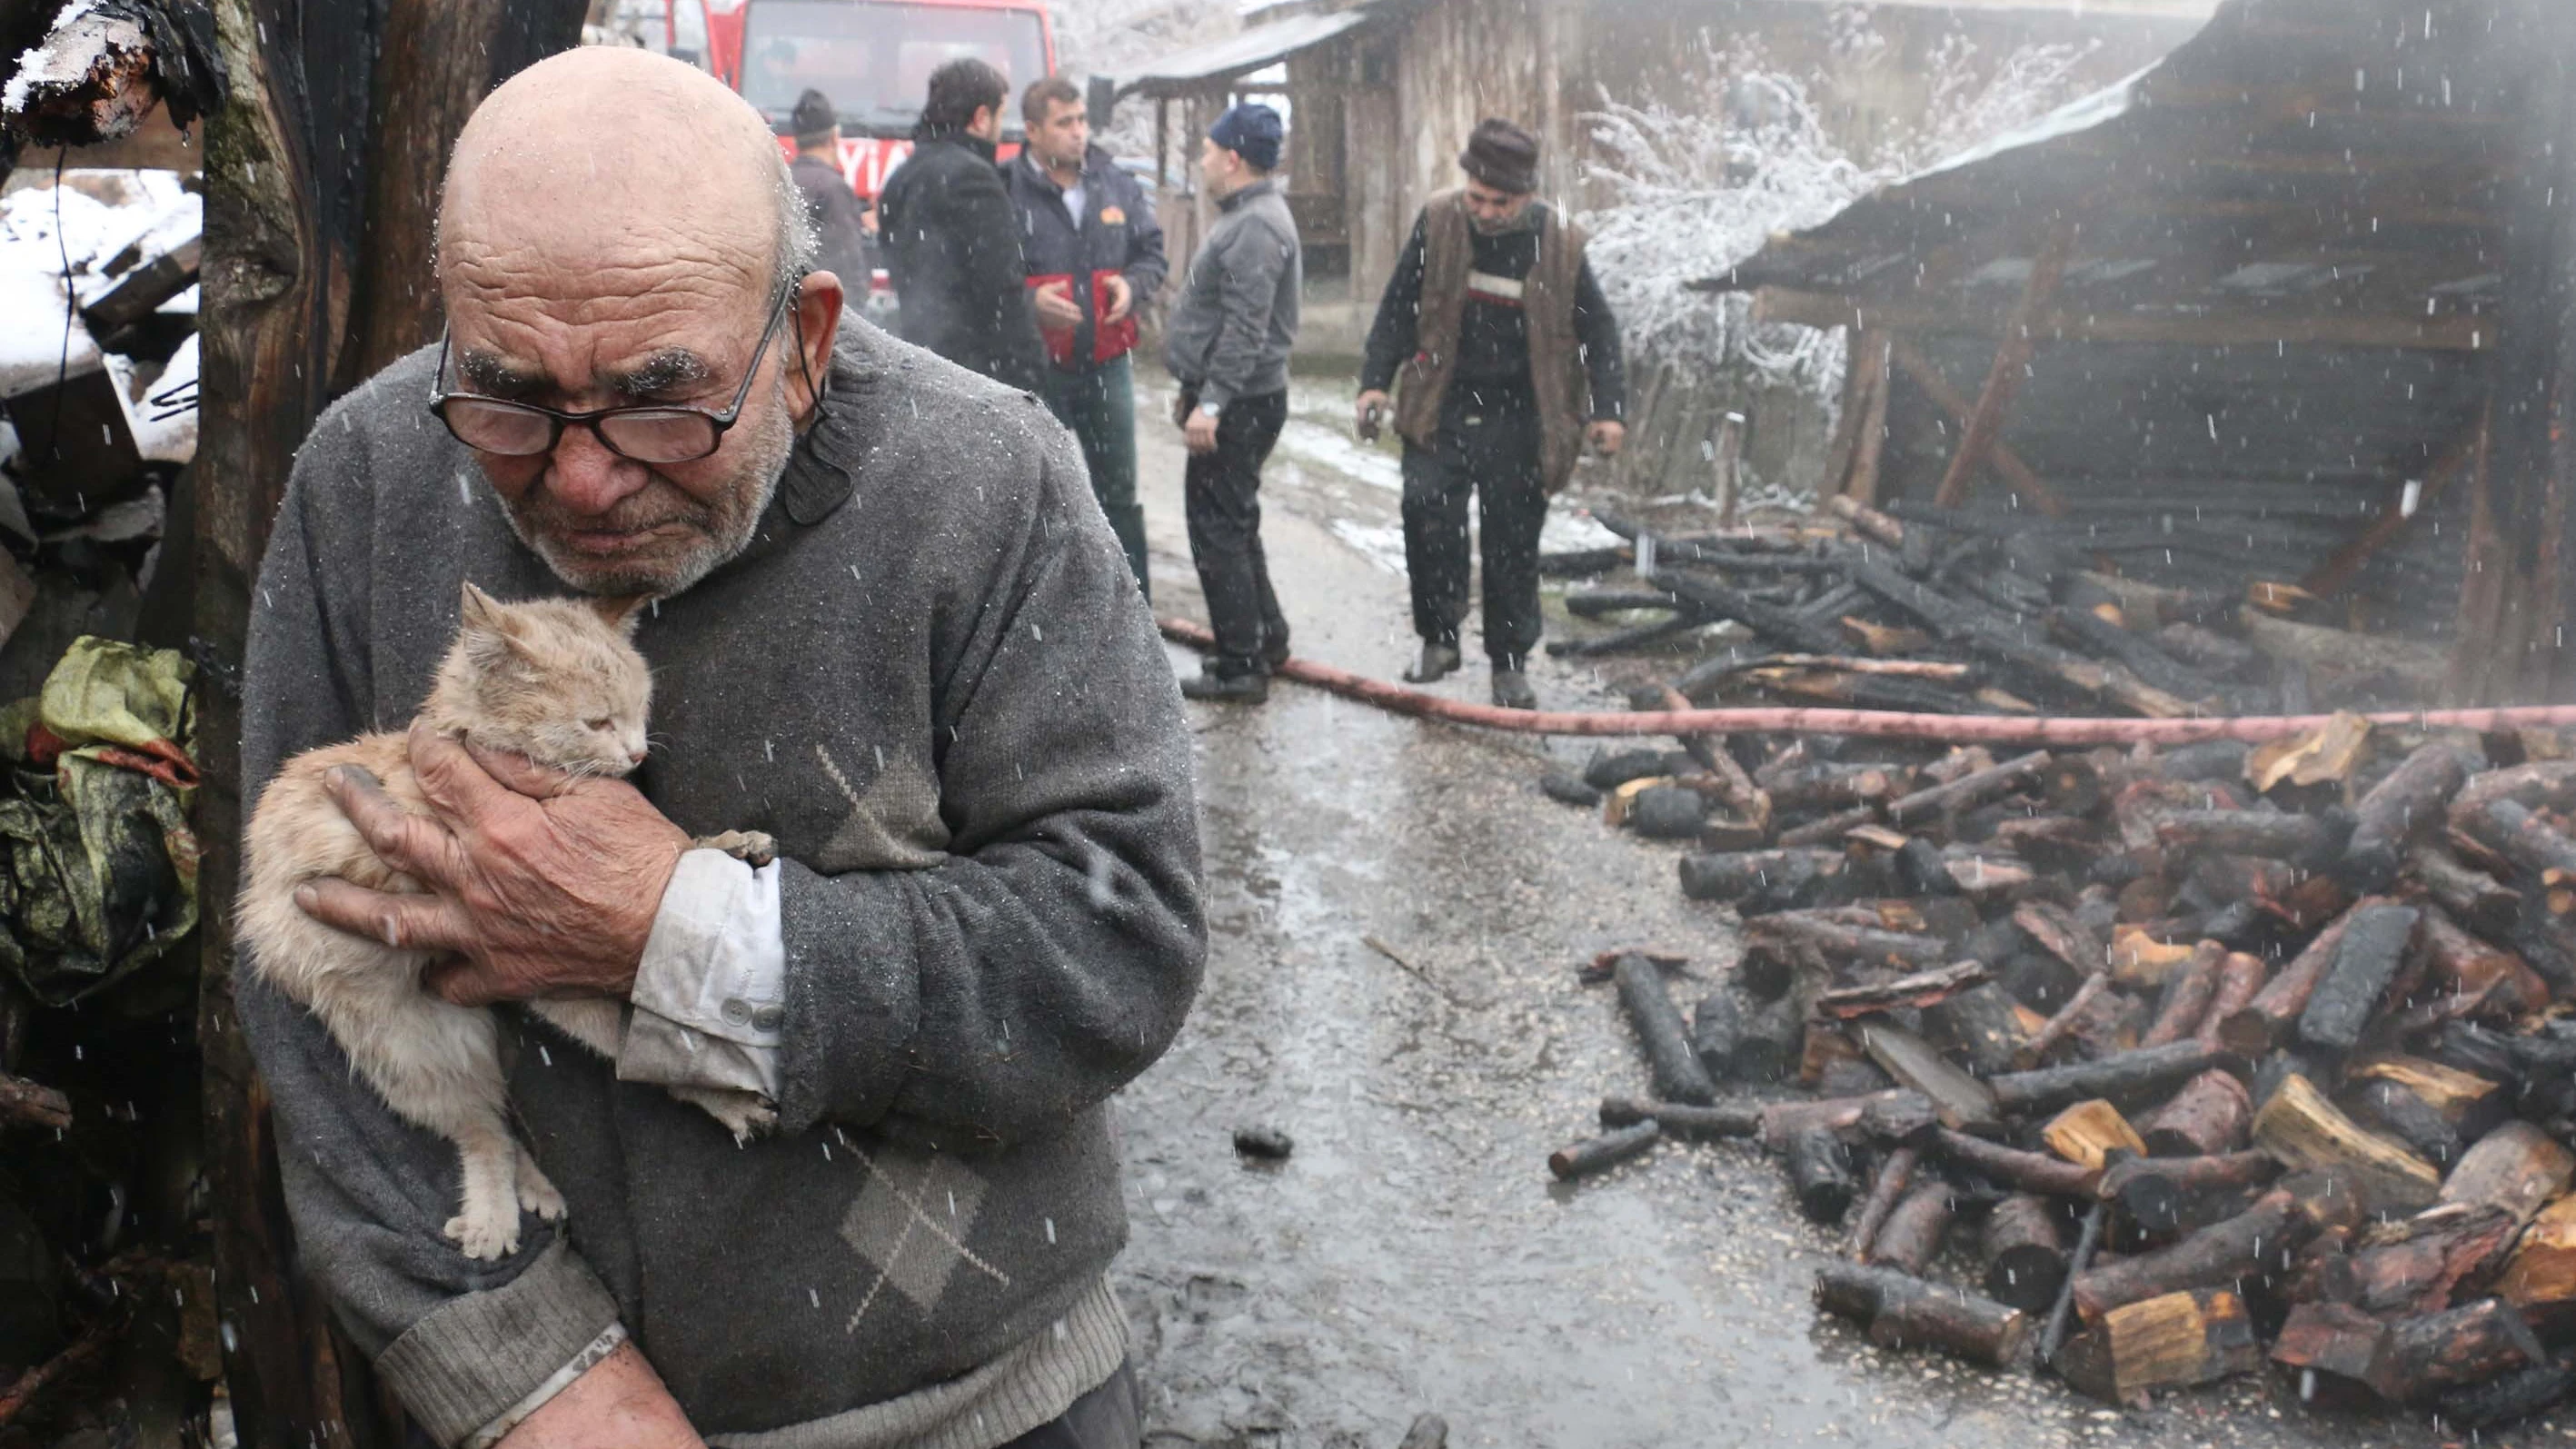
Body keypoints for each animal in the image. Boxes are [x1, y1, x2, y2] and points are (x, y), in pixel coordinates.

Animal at [238, 581, 767, 1261]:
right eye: (597, 721)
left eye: (640, 709)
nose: (638, 751)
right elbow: (626, 1036)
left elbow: (639, 1029)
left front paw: (727, 846)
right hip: (412, 1047)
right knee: (482, 1126)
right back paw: (493, 1217)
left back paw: (540, 1185)